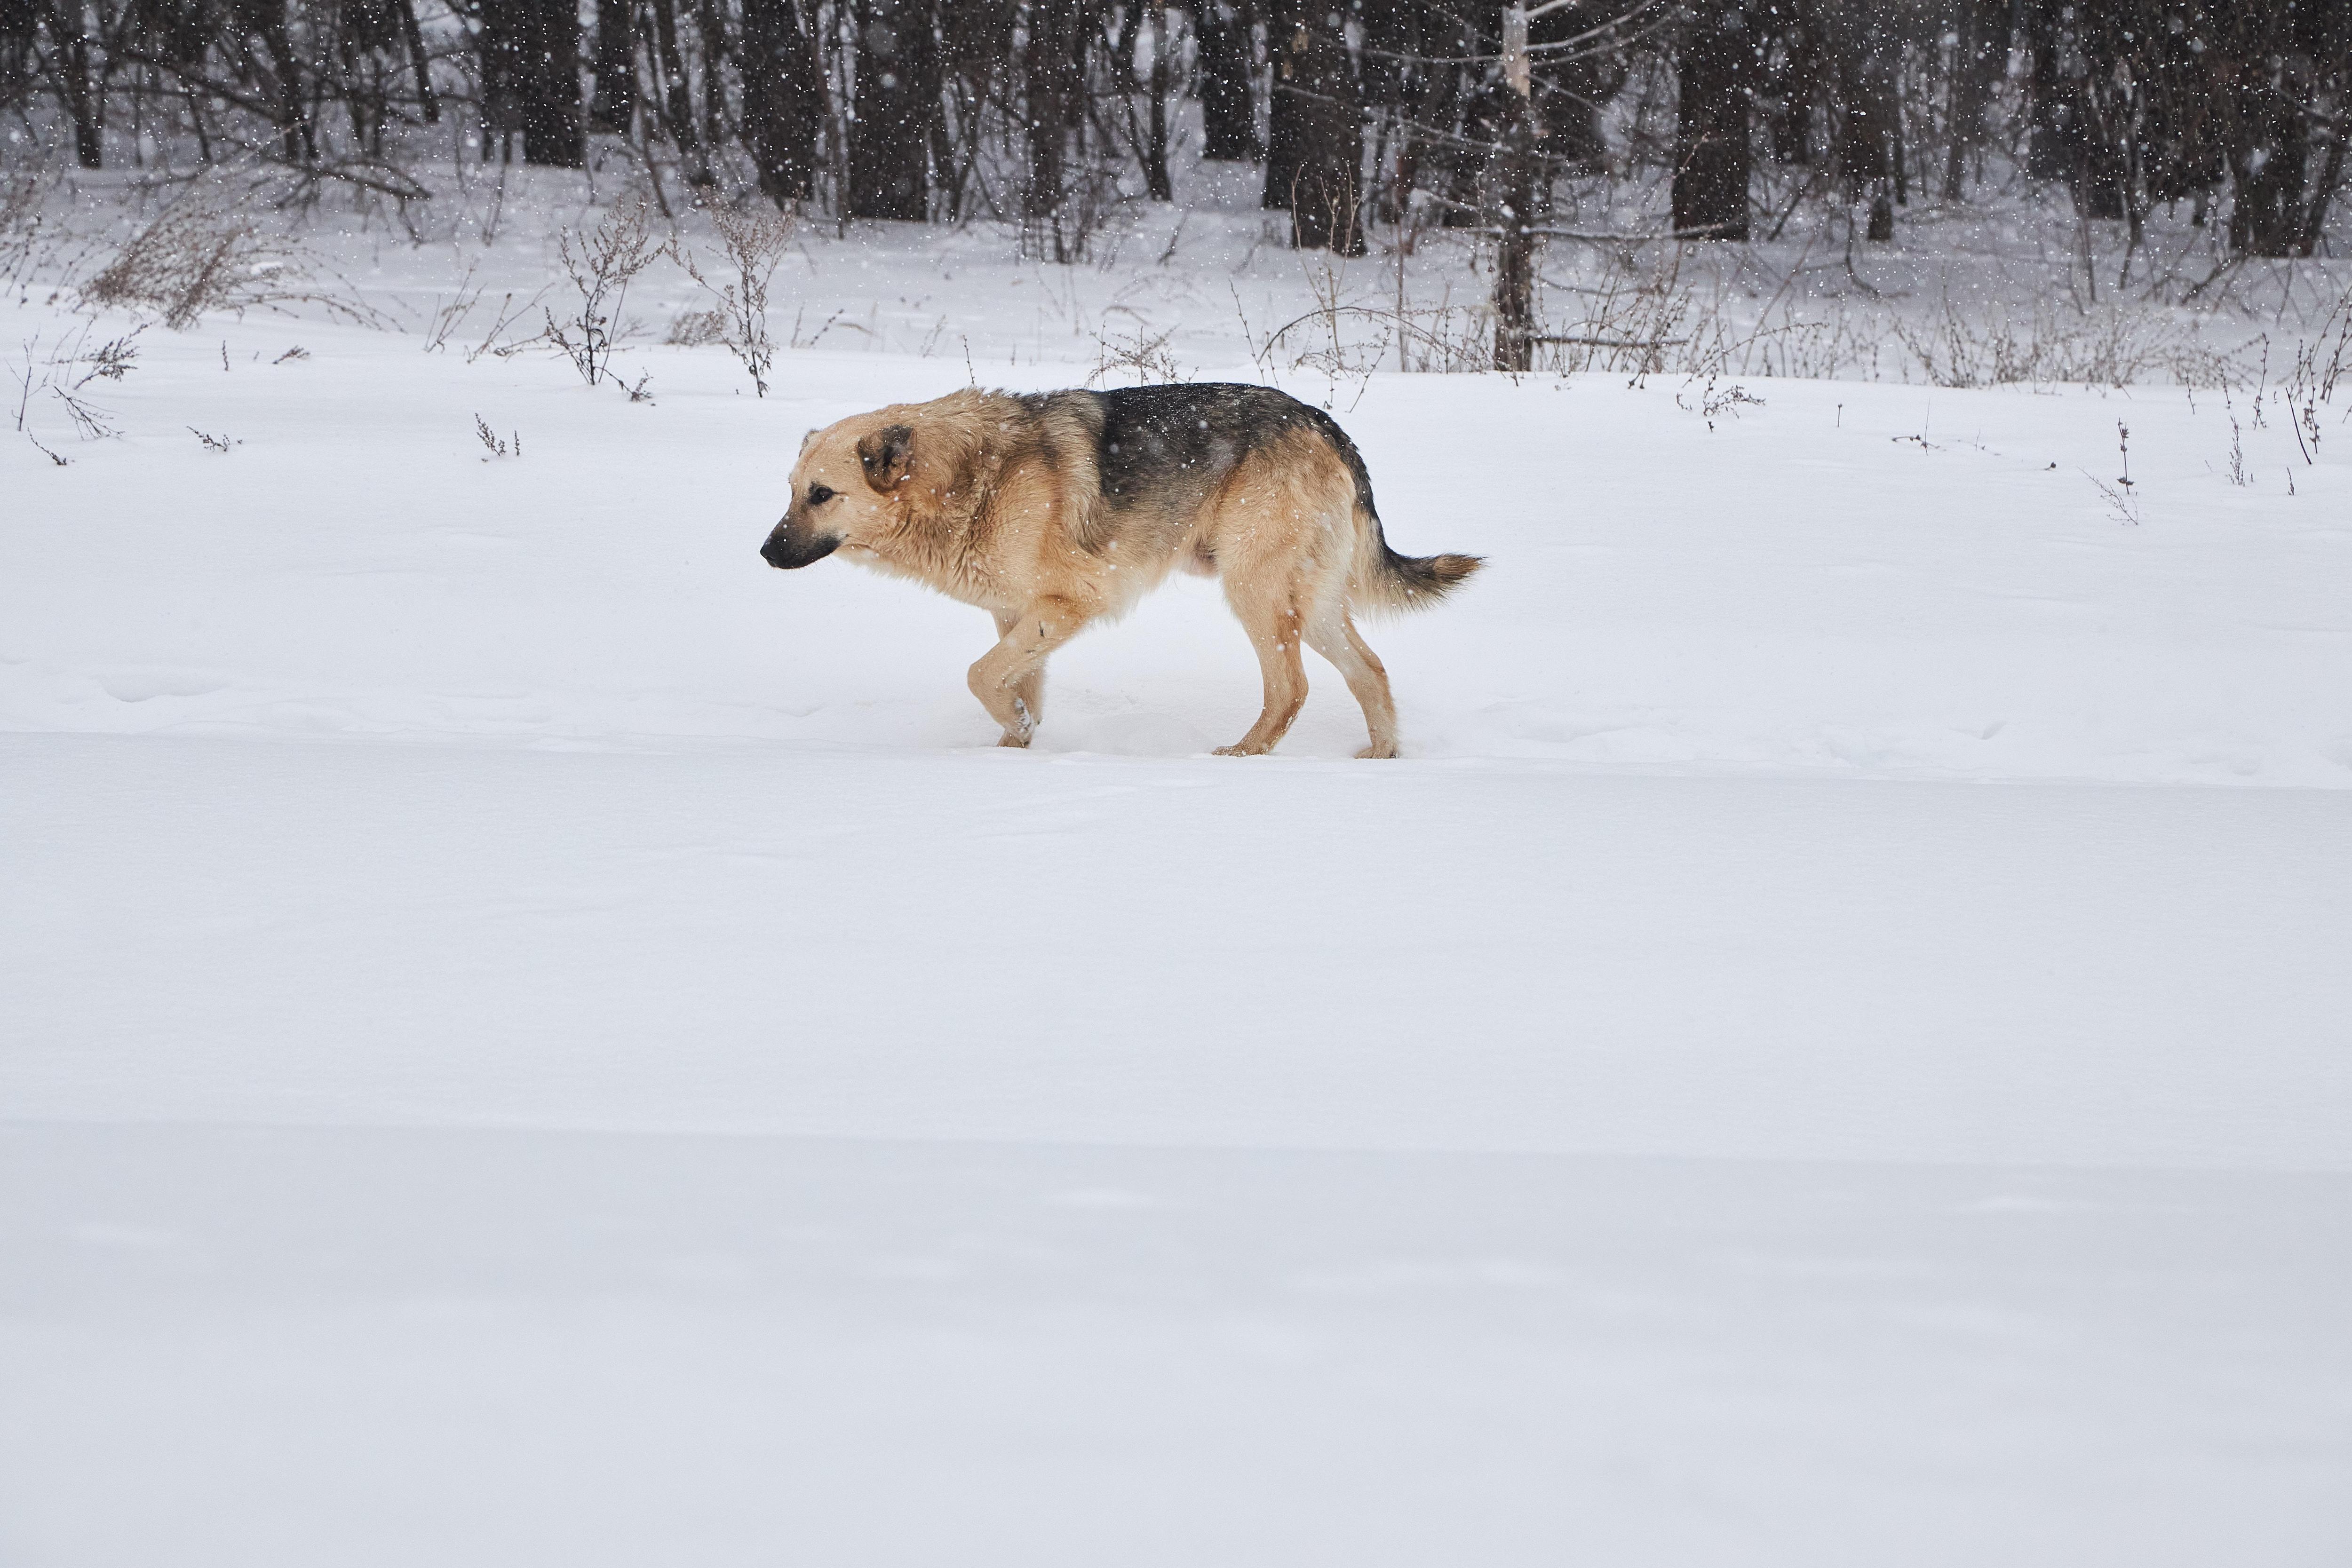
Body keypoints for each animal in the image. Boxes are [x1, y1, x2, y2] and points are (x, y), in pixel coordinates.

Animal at [762, 376, 1477, 752]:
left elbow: (978, 675)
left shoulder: (1068, 605)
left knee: (1291, 687)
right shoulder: (1018, 618)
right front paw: (1013, 747)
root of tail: (1325, 424)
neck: (966, 479)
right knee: (1371, 672)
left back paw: (1242, 756)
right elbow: (1011, 686)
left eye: (822, 494)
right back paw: (1377, 759)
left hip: (1255, 592)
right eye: (790, 491)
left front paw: (1012, 736)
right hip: (1312, 605)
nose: (765, 553)